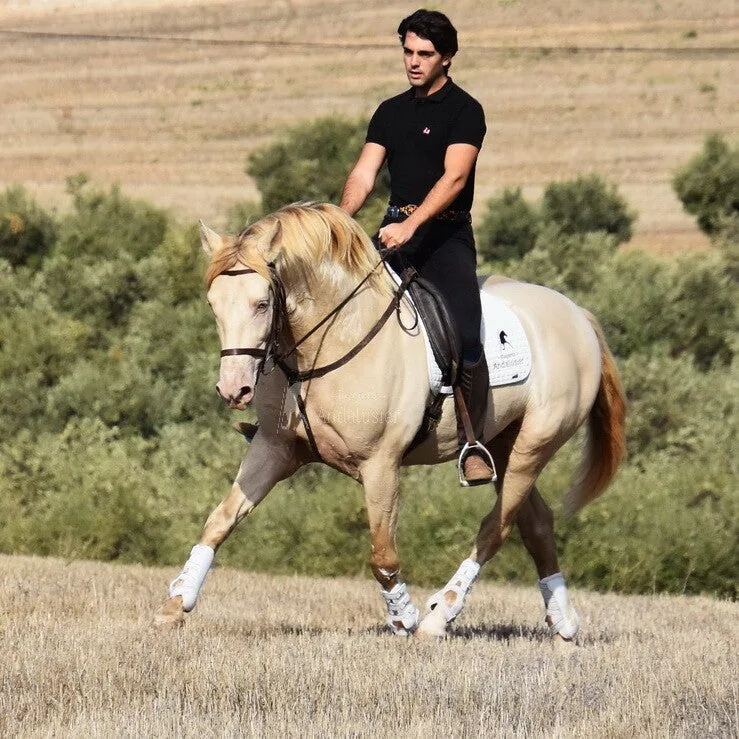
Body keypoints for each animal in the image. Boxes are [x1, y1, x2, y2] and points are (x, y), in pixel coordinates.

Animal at [154, 202, 626, 638]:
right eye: (213, 304)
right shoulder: (275, 450)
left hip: (534, 444)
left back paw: (439, 616)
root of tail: (578, 316)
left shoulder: (379, 464)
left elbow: (382, 553)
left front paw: (404, 617)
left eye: (262, 303)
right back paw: (563, 623)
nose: (233, 390)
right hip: (504, 446)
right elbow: (219, 521)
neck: (326, 343)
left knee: (498, 527)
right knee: (536, 524)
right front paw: (176, 603)